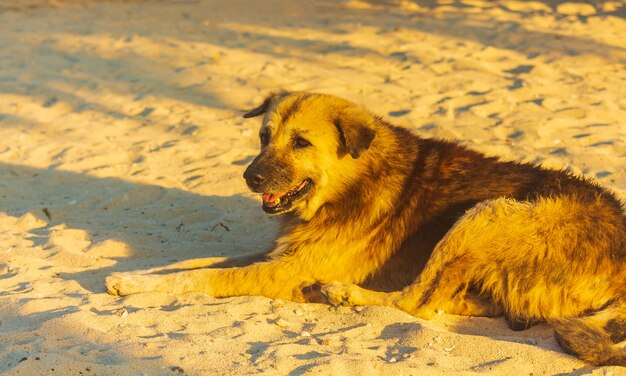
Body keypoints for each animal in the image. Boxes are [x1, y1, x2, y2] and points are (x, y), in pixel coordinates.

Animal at [107, 89, 624, 366]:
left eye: (300, 142)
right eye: (263, 137)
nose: (250, 178)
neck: (349, 184)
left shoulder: (285, 270)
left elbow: (206, 275)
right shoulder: (279, 257)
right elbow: (192, 262)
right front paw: (130, 278)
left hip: (485, 215)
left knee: (416, 303)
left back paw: (344, 294)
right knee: (443, 300)